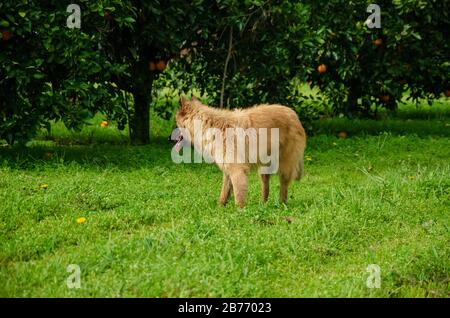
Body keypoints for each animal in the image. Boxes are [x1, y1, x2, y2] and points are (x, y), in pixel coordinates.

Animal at [175, 95, 306, 207]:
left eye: (176, 123)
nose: (171, 138)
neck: (210, 126)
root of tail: (293, 114)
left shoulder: (237, 170)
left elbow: (238, 195)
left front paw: (239, 212)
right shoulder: (228, 169)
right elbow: (224, 192)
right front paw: (220, 207)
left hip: (284, 164)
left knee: (283, 185)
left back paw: (282, 204)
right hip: (264, 167)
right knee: (266, 186)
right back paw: (262, 204)